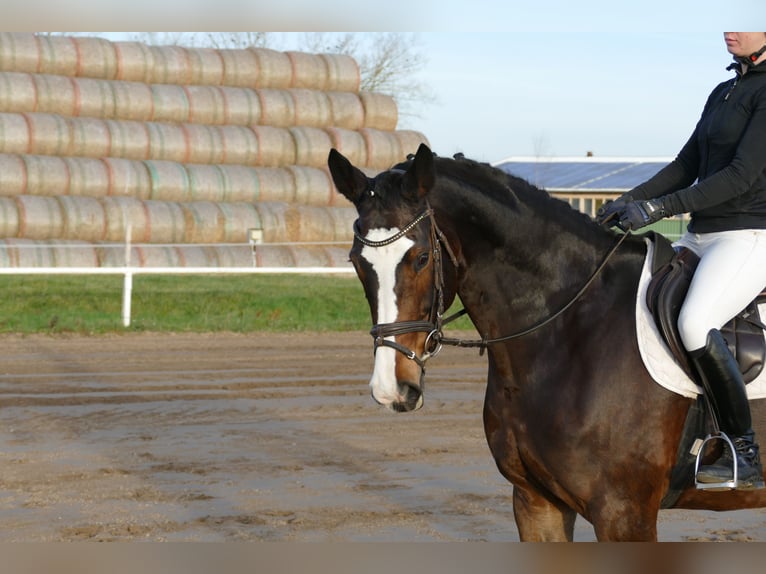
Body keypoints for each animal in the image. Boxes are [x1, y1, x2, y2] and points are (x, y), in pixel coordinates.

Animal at [327, 143, 766, 541]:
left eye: (420, 258)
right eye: (356, 262)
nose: (391, 389)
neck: (568, 328)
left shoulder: (625, 514)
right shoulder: (536, 502)